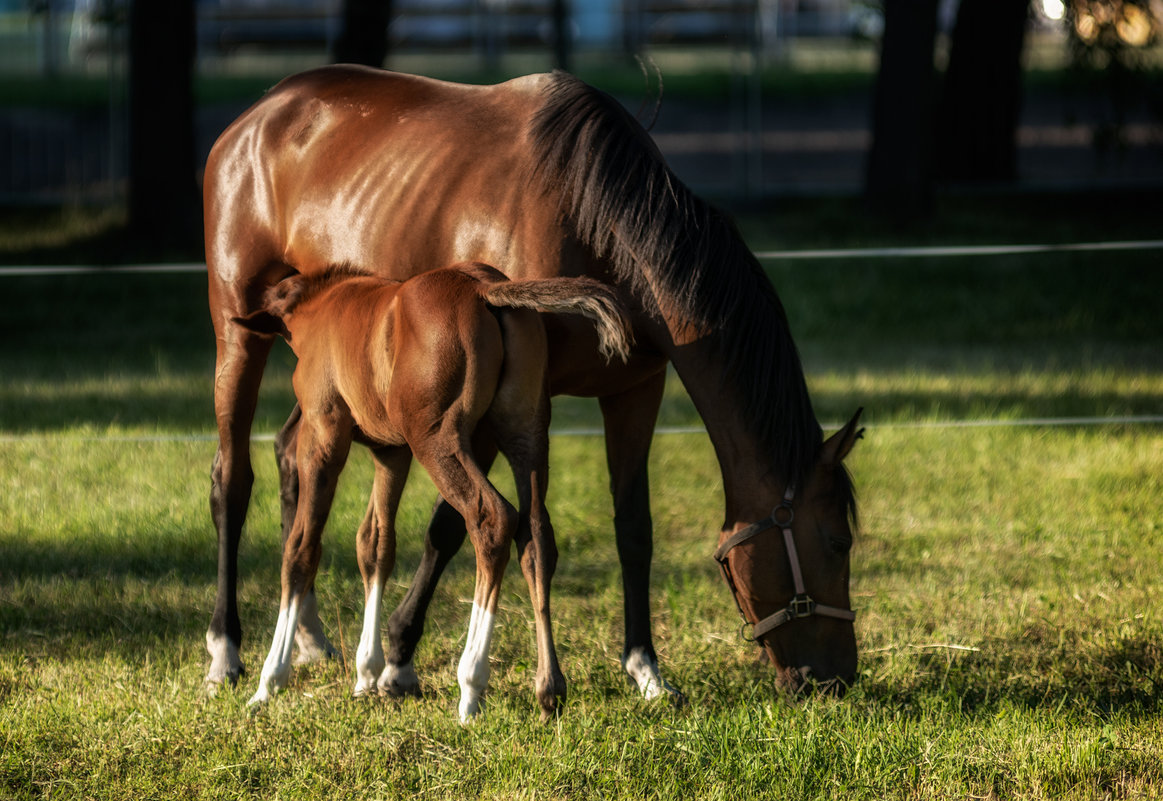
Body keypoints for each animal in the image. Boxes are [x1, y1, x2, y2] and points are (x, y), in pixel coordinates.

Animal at [238, 262, 637, 720]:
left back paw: (471, 686)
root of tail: (484, 289)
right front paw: (366, 675)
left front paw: (269, 682)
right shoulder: (390, 452)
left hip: (436, 439)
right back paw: (549, 687)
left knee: (492, 519)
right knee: (536, 537)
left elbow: (301, 548)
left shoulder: (323, 438)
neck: (321, 307)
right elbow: (375, 544)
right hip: (525, 432)